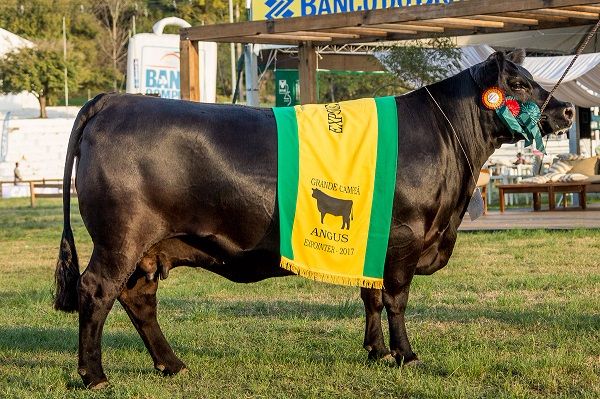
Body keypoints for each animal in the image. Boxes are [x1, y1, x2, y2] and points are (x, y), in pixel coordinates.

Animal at [55, 50, 572, 390]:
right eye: (518, 84)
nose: (566, 109)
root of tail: (115, 100)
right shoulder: (404, 237)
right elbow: (396, 299)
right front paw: (405, 355)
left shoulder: (371, 244)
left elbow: (371, 296)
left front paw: (375, 352)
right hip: (121, 239)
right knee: (96, 291)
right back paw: (94, 376)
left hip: (148, 248)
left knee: (138, 298)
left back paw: (172, 365)